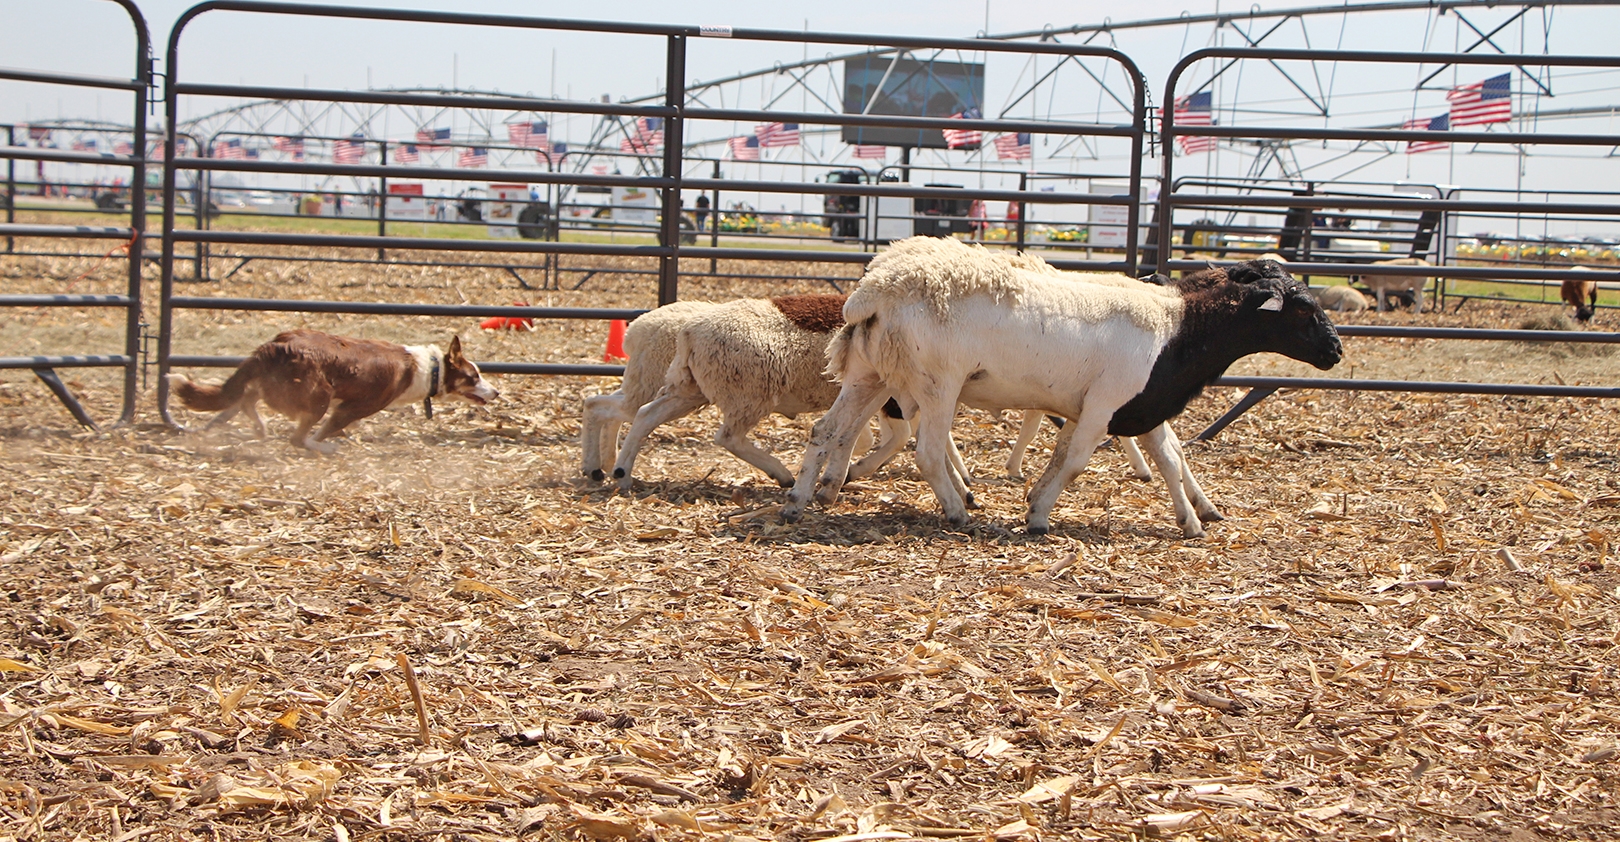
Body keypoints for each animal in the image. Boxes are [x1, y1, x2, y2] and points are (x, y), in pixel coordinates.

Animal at [609, 296, 913, 492]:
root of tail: (688, 332)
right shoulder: (893, 397)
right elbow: (897, 437)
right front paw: (853, 469)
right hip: (749, 392)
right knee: (728, 437)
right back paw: (782, 474)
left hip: (692, 388)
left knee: (646, 415)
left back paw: (622, 474)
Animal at [784, 234, 1341, 540]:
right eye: (1301, 309)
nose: (1336, 351)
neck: (1176, 329)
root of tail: (874, 290)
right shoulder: (1104, 406)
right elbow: (1074, 461)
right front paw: (1038, 514)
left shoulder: (1139, 404)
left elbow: (1165, 458)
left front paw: (1192, 521)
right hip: (938, 382)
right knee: (926, 451)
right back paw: (958, 512)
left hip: (868, 374)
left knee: (826, 431)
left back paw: (798, 500)